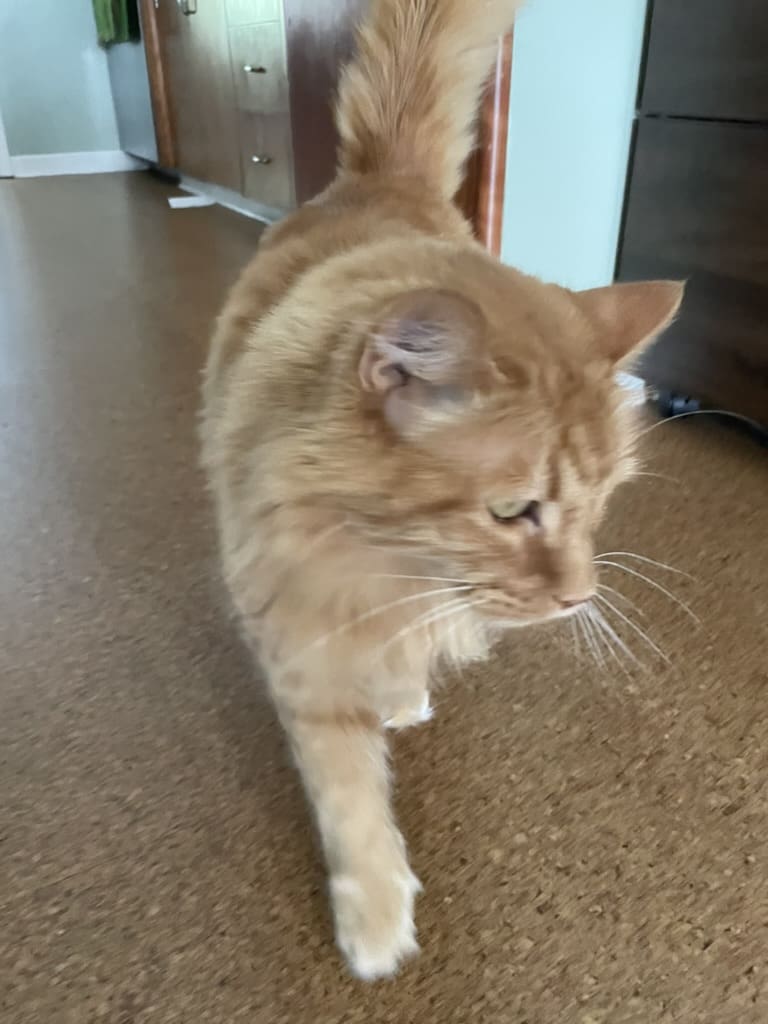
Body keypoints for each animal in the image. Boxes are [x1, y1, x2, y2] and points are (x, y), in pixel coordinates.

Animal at [199, 0, 684, 978]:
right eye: (512, 511)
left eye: (599, 505)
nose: (579, 598)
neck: (379, 554)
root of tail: (378, 182)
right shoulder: (300, 635)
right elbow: (350, 796)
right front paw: (375, 914)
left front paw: (406, 682)